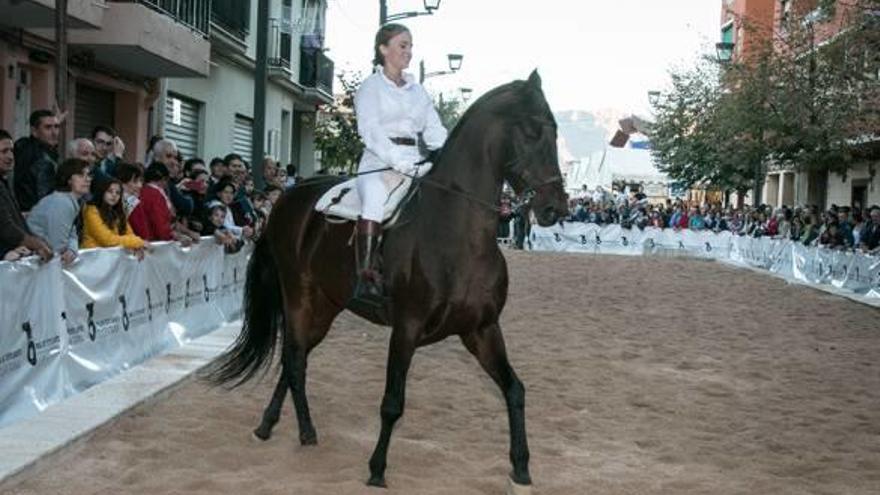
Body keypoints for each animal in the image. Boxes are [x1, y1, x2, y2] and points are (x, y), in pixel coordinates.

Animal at [214, 70, 572, 492]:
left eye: (555, 130)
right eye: (532, 131)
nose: (555, 208)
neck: (457, 234)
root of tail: (287, 199)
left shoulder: (482, 329)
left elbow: (514, 390)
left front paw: (520, 466)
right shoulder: (406, 328)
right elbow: (392, 403)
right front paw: (377, 469)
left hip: (325, 306)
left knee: (294, 359)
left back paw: (273, 425)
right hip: (299, 296)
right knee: (295, 359)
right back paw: (302, 430)